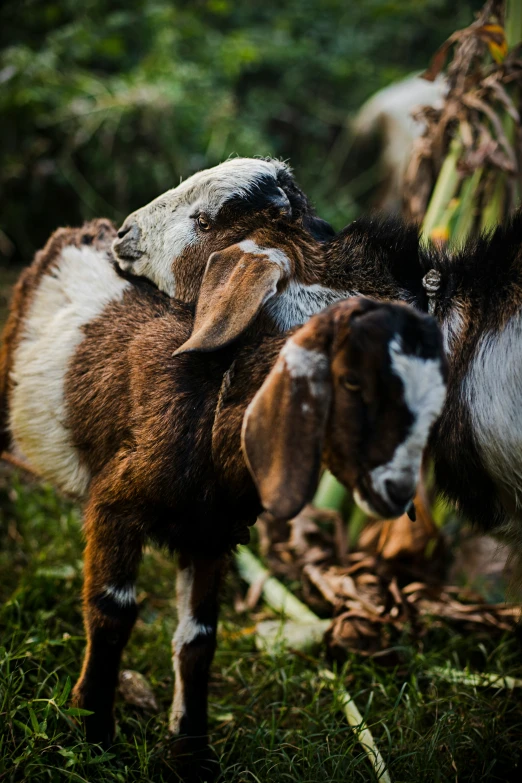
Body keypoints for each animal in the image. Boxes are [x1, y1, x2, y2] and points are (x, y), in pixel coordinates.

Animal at [0, 224, 444, 780]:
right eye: (351, 378)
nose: (396, 489)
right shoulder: (115, 505)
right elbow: (112, 611)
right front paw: (91, 733)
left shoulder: (213, 538)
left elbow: (199, 638)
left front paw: (191, 752)